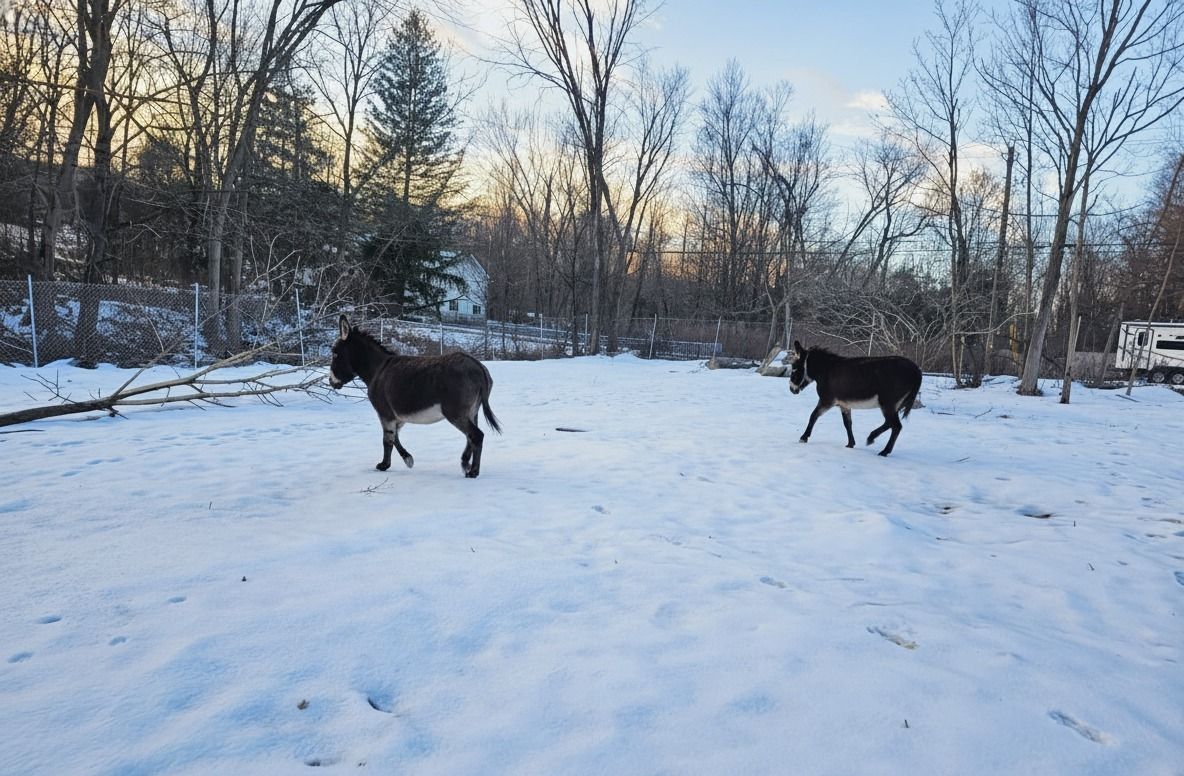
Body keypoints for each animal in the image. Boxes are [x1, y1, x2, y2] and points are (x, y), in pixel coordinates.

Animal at [328, 315, 501, 477]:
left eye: (335, 354)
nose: (331, 382)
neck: (377, 369)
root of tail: (477, 366)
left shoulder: (385, 414)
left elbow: (387, 440)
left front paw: (384, 465)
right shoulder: (397, 417)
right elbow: (395, 438)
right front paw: (407, 458)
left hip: (455, 413)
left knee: (476, 436)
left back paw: (473, 472)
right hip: (472, 412)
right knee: (470, 437)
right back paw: (466, 463)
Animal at [787, 340, 922, 457]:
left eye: (794, 368)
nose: (791, 390)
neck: (825, 370)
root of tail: (917, 370)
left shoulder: (827, 401)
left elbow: (813, 416)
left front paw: (803, 437)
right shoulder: (844, 405)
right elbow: (847, 424)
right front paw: (850, 443)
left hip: (887, 403)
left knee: (896, 426)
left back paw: (882, 449)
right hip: (892, 405)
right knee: (891, 424)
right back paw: (874, 440)